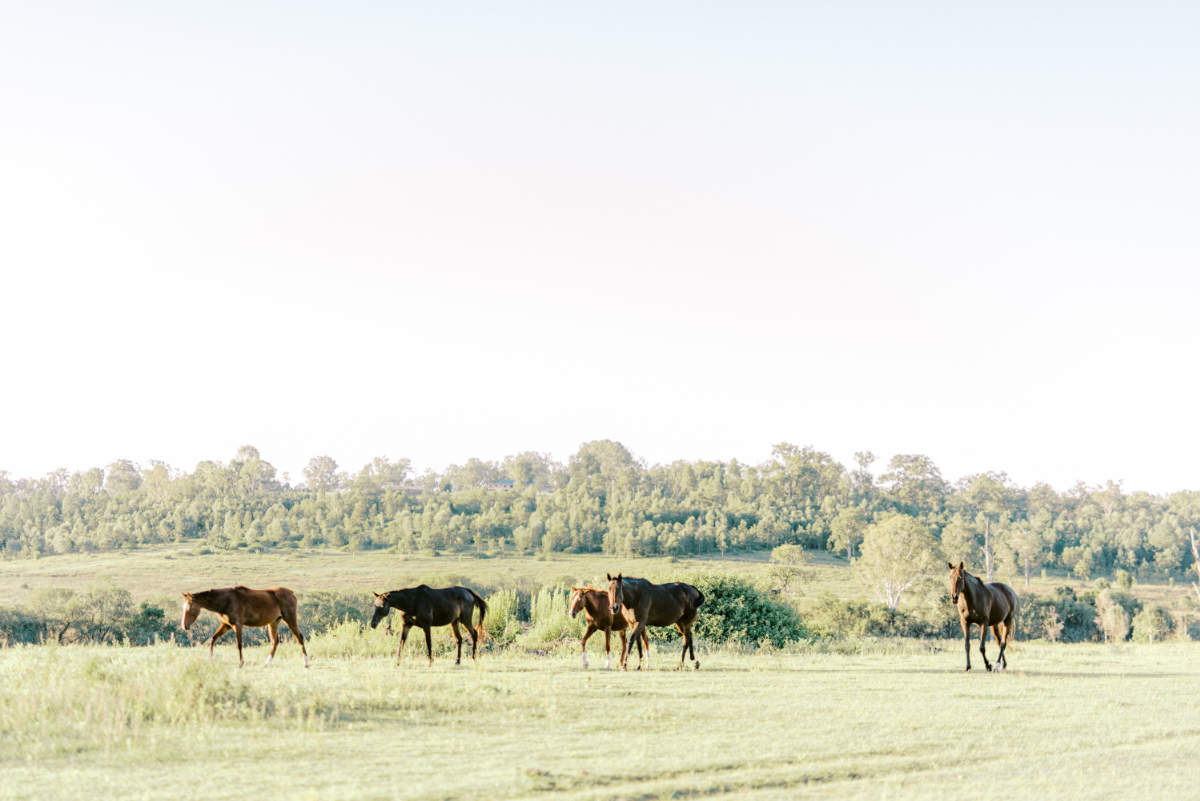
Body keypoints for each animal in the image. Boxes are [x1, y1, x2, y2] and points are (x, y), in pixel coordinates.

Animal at [180, 585, 309, 666]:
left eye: (189, 608)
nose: (184, 626)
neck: (226, 601)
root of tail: (291, 593)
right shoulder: (226, 625)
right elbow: (213, 638)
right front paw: (211, 658)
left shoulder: (237, 625)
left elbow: (239, 644)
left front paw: (241, 663)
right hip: (274, 623)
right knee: (275, 642)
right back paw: (266, 663)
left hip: (290, 619)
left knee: (299, 638)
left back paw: (306, 663)